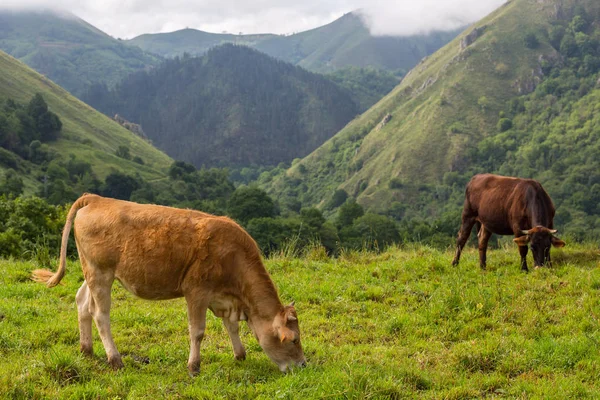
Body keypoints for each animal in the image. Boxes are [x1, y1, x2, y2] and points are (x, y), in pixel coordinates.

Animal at [31, 194, 308, 376]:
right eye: (294, 340)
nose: (303, 365)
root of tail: (96, 198)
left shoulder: (224, 299)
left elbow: (231, 327)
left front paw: (240, 355)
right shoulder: (197, 291)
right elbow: (197, 331)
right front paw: (194, 367)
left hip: (91, 271)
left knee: (81, 302)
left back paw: (86, 350)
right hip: (101, 273)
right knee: (100, 314)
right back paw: (115, 359)